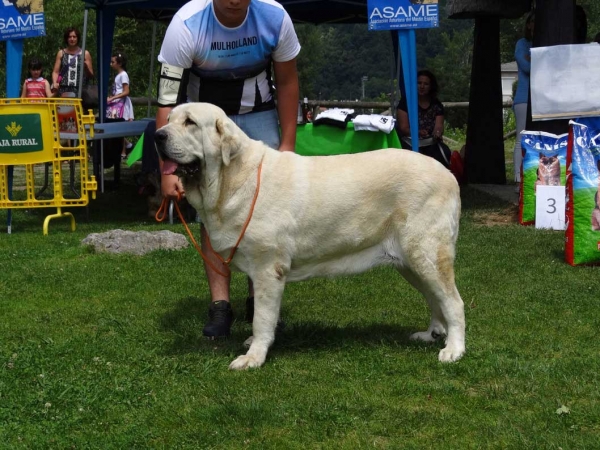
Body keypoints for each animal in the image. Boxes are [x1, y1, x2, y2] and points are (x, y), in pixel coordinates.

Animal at [154, 103, 464, 370]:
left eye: (190, 122)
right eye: (168, 120)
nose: (158, 136)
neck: (233, 177)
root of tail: (448, 174)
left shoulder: (267, 269)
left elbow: (261, 318)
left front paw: (253, 357)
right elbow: (262, 315)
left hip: (426, 254)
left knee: (453, 302)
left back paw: (454, 349)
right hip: (410, 263)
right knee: (435, 299)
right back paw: (431, 335)